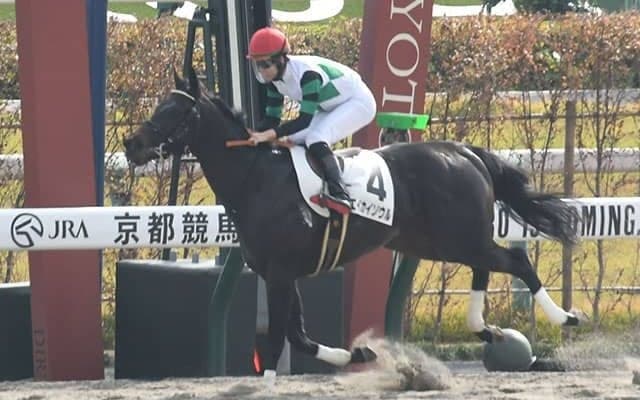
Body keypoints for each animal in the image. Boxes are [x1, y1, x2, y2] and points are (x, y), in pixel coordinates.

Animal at [123, 68, 582, 375]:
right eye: (160, 105)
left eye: (175, 110)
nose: (132, 144)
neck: (255, 178)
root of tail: (463, 151)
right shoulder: (280, 272)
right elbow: (299, 336)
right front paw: (359, 353)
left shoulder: (281, 271)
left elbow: (279, 340)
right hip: (436, 241)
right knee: (485, 266)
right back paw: (486, 329)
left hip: (457, 237)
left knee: (515, 262)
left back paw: (566, 318)